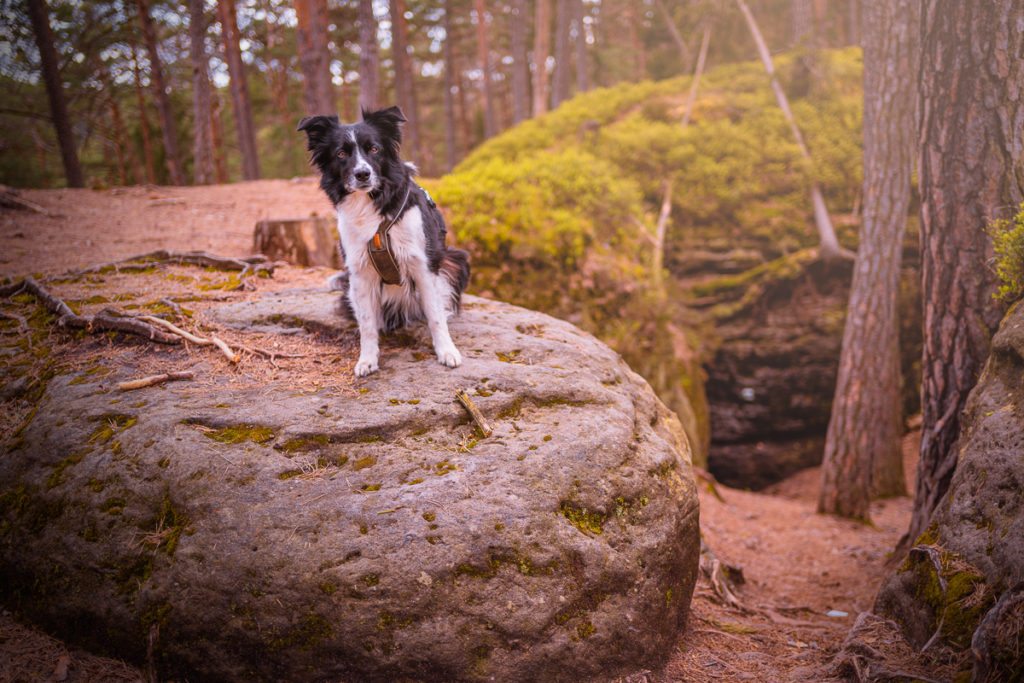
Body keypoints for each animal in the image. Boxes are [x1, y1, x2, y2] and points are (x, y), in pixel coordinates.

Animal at [299, 104, 468, 376]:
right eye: (341, 154)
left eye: (374, 149)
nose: (362, 174)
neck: (371, 204)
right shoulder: (359, 273)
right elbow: (367, 324)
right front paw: (367, 360)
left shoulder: (423, 265)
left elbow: (435, 316)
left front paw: (446, 351)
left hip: (457, 259)